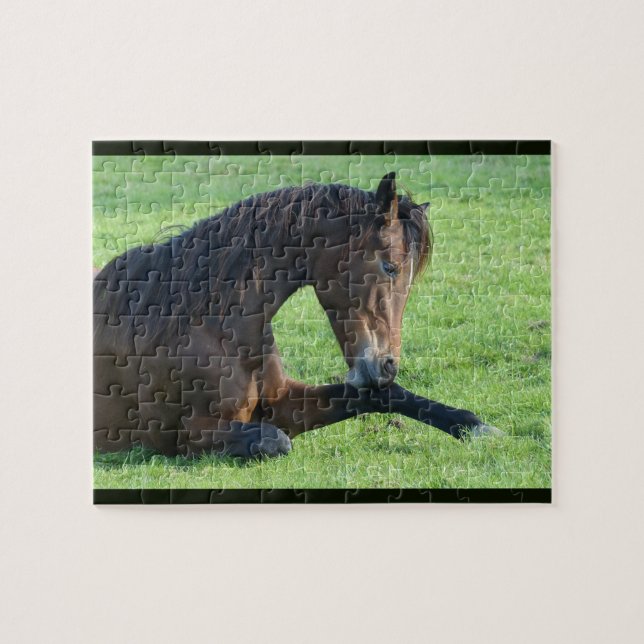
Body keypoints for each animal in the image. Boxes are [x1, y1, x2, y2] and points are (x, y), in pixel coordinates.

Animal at [94, 172, 500, 458]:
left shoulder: (285, 403)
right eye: (390, 267)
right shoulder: (185, 435)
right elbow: (276, 442)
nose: (387, 366)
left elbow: (378, 397)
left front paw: (474, 425)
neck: (209, 323)